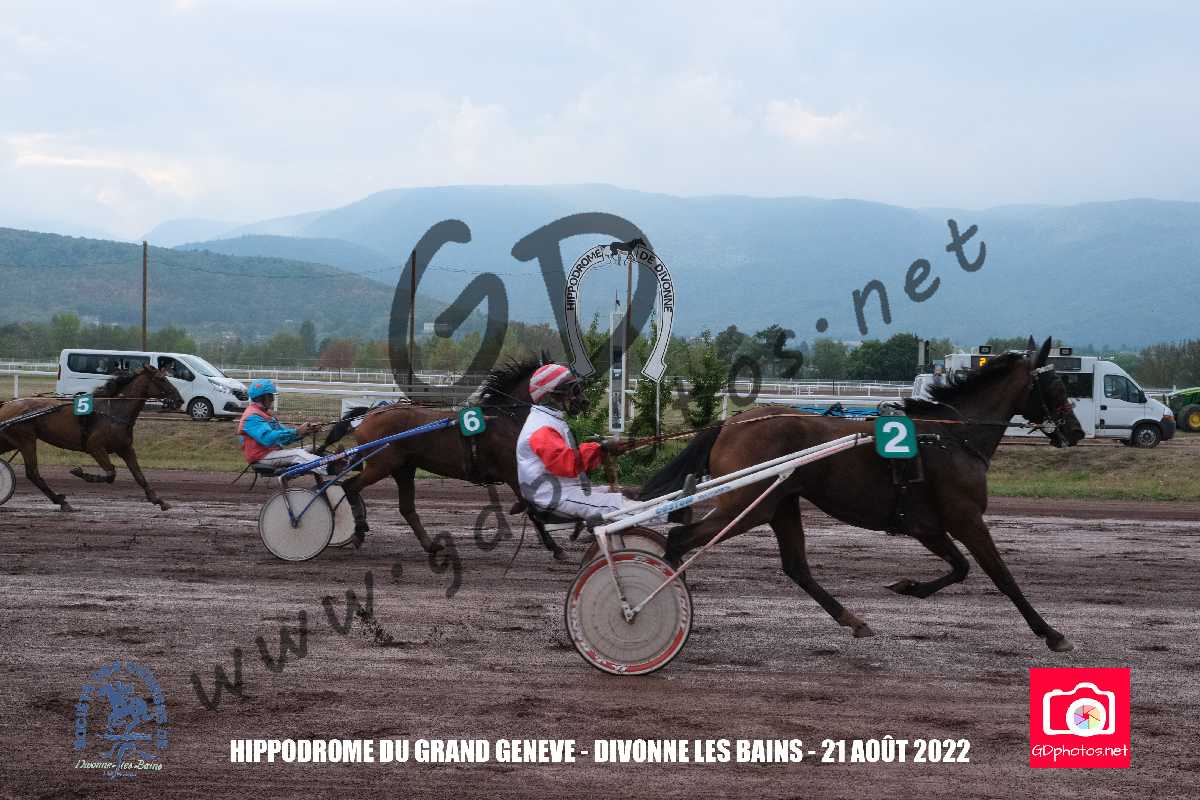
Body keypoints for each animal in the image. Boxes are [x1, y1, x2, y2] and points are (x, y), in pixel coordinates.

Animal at [0, 365, 183, 511]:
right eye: (161, 378)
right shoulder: (94, 447)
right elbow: (111, 473)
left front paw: (159, 501)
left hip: (11, 441)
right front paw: (81, 472)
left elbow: (139, 476)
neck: (113, 411)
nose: (180, 400)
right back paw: (61, 501)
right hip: (26, 440)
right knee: (33, 473)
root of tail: (7, 405)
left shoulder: (125, 448)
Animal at [325, 357, 576, 559]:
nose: (581, 403)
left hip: (403, 469)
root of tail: (370, 414)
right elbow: (530, 507)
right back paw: (359, 531)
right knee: (350, 486)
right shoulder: (510, 471)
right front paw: (557, 548)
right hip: (381, 465)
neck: (505, 417)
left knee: (406, 508)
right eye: (569, 382)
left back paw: (430, 546)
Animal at [639, 337, 1086, 652]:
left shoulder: (927, 525)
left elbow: (960, 568)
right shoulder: (965, 517)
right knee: (681, 538)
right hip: (750, 504)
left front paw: (908, 586)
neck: (952, 436)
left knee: (797, 567)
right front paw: (1052, 633)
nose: (1077, 431)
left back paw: (854, 620)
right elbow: (1001, 575)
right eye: (1056, 383)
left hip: (781, 503)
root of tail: (730, 424)